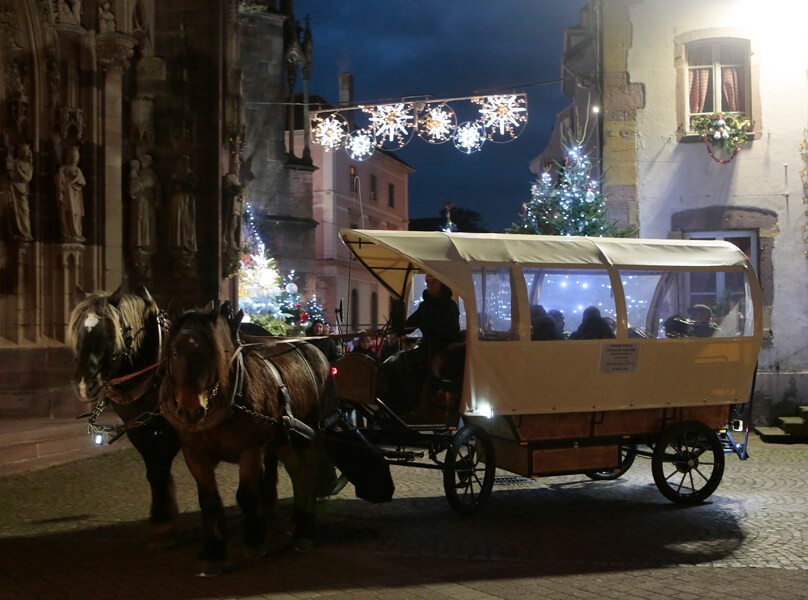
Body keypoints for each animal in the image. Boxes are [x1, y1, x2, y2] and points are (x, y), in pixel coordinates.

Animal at [159, 308, 336, 576]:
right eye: (174, 353)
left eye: (213, 352)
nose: (190, 411)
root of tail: (313, 350)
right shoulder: (195, 455)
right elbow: (209, 501)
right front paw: (213, 552)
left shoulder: (251, 451)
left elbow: (246, 495)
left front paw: (253, 543)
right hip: (287, 440)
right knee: (299, 477)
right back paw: (297, 523)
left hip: (313, 434)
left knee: (308, 475)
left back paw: (304, 533)